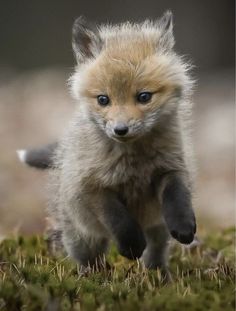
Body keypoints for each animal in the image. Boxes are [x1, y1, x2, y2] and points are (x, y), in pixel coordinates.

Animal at [18, 11, 195, 276]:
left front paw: (184, 226)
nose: (120, 130)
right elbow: (118, 219)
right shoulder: (91, 187)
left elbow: (178, 198)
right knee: (88, 259)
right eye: (103, 99)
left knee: (156, 252)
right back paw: (92, 278)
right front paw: (131, 246)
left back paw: (160, 276)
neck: (134, 161)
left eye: (144, 97)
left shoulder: (171, 168)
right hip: (82, 235)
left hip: (156, 228)